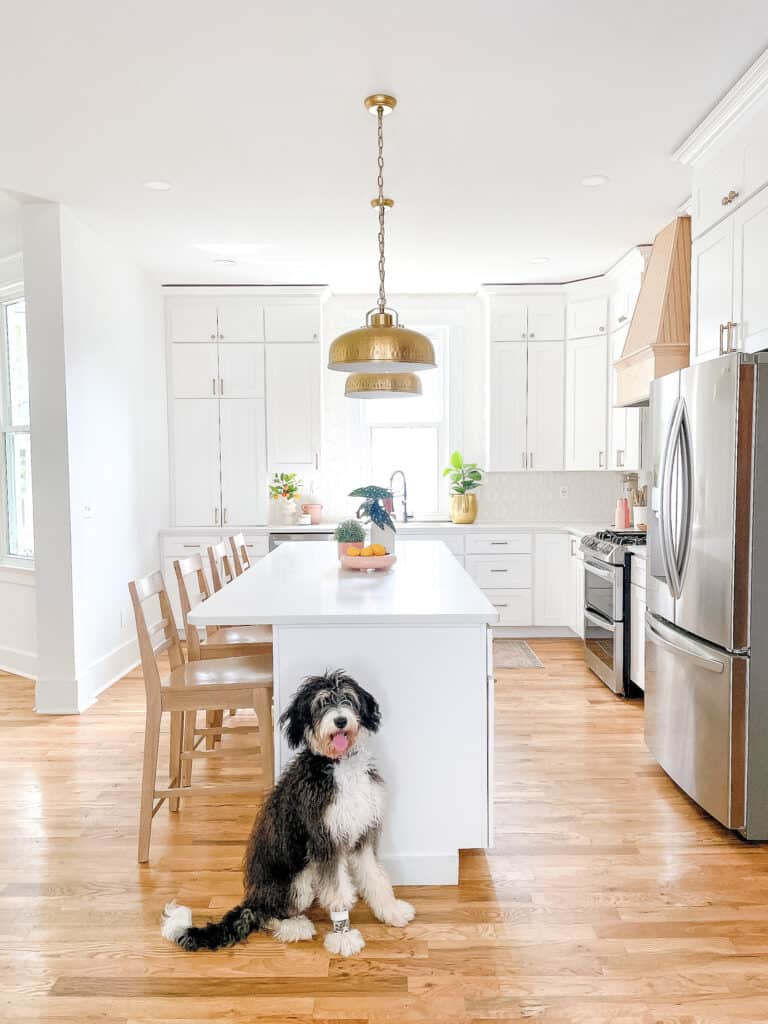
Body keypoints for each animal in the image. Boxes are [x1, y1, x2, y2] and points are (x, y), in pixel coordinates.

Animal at [162, 667, 415, 954]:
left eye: (348, 699)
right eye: (321, 704)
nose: (340, 721)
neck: (338, 767)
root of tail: (253, 898)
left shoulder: (363, 833)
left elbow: (376, 876)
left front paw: (391, 910)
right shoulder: (324, 841)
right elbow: (337, 891)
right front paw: (343, 936)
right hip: (296, 881)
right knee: (268, 914)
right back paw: (295, 926)